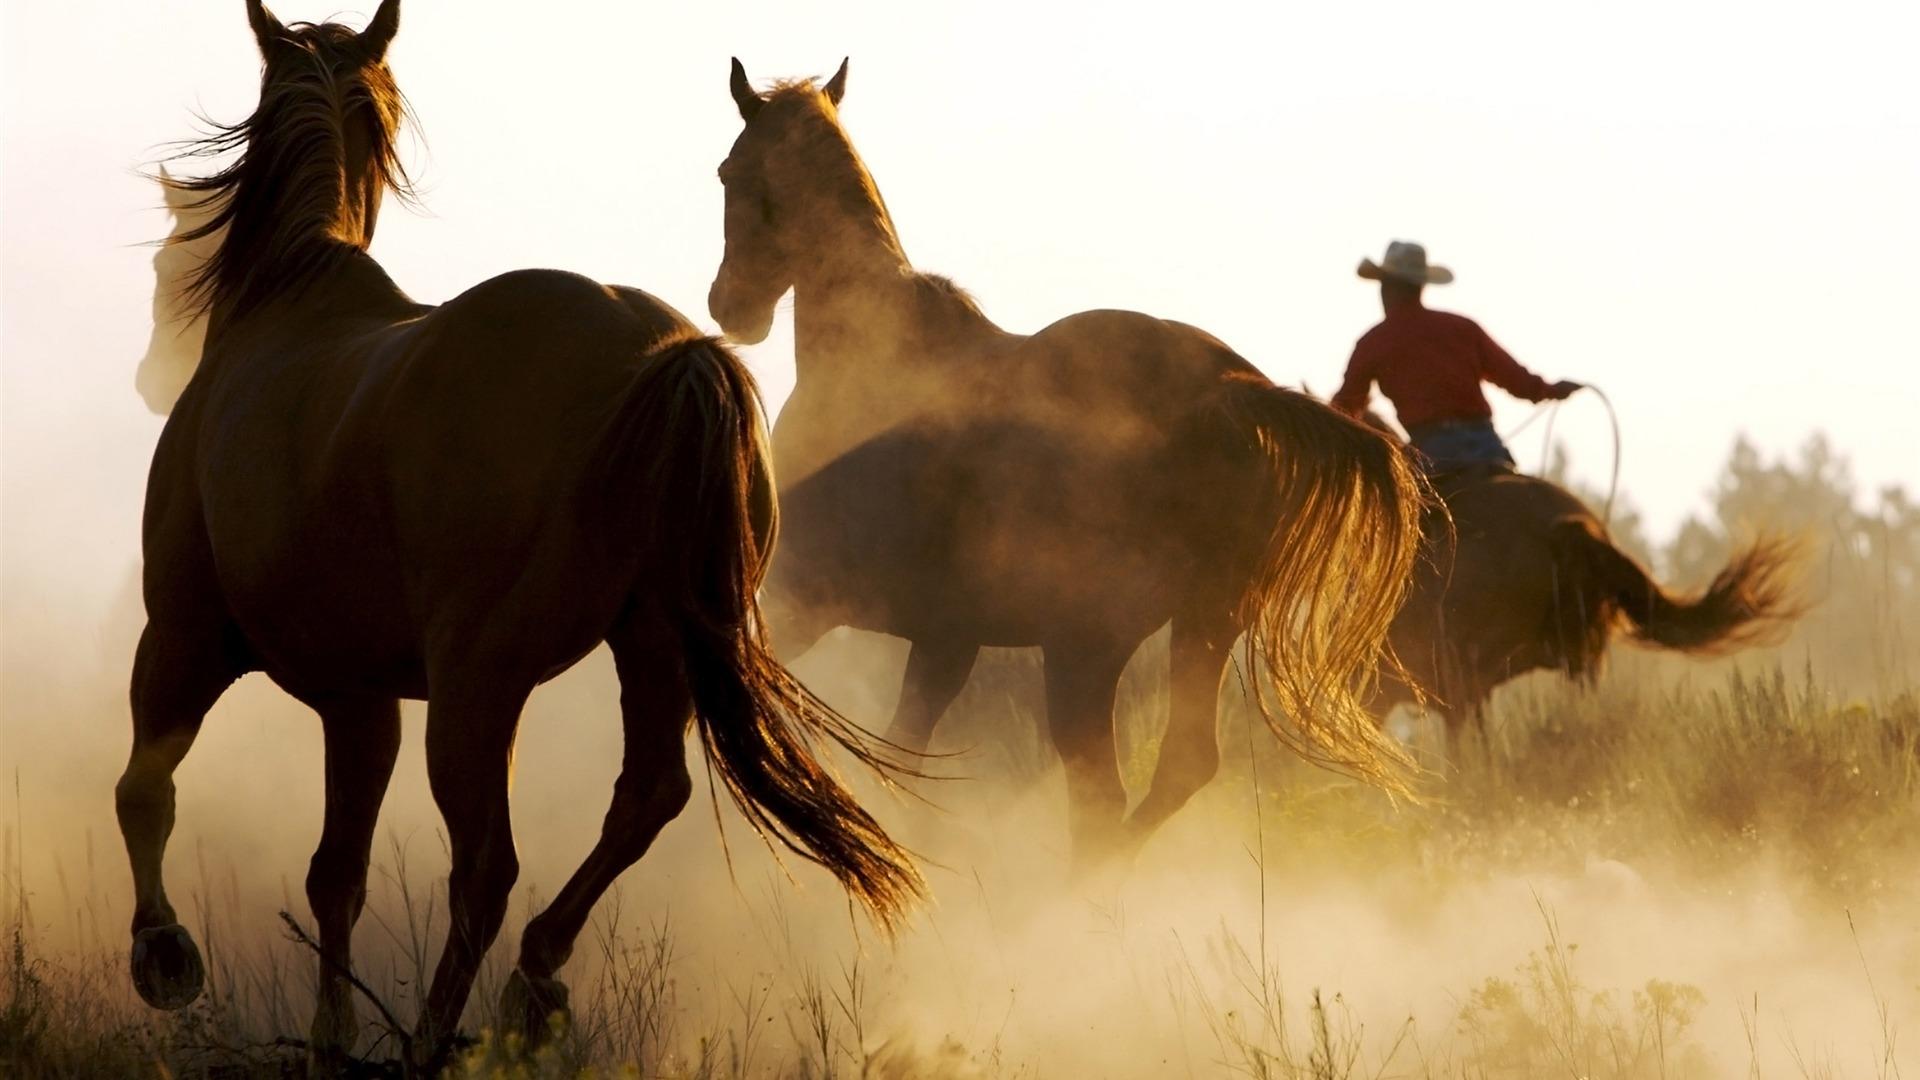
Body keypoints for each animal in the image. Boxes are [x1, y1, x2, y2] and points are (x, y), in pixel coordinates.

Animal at [120, 5, 918, 1064]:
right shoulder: (359, 700)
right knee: (642, 800)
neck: (287, 305)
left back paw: (433, 1039)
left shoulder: (182, 637)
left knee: (487, 868)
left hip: (477, 686)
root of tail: (668, 357)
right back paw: (532, 985)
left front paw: (164, 955)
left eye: (170, 258)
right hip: (649, 647)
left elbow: (145, 791)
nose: (150, 371)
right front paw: (331, 1038)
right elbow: (336, 874)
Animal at [707, 60, 1432, 868]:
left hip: (1086, 648)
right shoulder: (946, 638)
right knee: (1174, 771)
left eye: (728, 171)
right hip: (1200, 624)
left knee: (1102, 796)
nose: (730, 306)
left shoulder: (801, 599)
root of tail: (1228, 391)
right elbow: (904, 755)